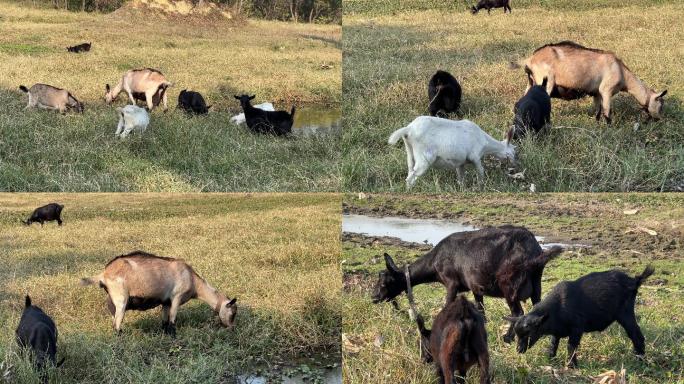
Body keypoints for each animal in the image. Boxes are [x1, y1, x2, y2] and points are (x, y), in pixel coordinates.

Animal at [80, 249, 238, 336]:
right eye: (232, 313)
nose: (232, 329)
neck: (193, 280)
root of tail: (104, 274)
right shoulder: (176, 297)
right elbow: (173, 320)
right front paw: (174, 336)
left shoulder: (166, 302)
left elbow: (164, 321)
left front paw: (164, 333)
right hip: (121, 300)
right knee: (117, 325)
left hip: (113, 302)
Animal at [374, 225, 560, 342]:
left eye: (385, 282)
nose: (373, 298)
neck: (435, 261)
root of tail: (534, 250)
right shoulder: (476, 286)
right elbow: (480, 309)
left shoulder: (451, 282)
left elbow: (447, 304)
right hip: (536, 282)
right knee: (538, 306)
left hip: (510, 284)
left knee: (518, 312)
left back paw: (507, 338)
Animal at [388, 118, 516, 188]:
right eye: (515, 150)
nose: (514, 166)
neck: (485, 143)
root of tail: (408, 129)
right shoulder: (475, 157)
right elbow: (481, 172)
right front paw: (480, 187)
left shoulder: (461, 162)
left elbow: (461, 179)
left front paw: (463, 189)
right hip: (425, 157)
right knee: (411, 178)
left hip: (410, 152)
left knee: (409, 171)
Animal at [504, 266, 656, 368]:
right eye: (517, 335)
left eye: (528, 334)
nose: (518, 350)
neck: (556, 310)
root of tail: (634, 281)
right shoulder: (557, 331)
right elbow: (553, 343)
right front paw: (550, 359)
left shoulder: (577, 328)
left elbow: (571, 346)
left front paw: (571, 365)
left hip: (625, 314)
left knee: (636, 335)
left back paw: (640, 358)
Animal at [524, 41, 668, 123]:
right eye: (660, 105)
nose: (658, 120)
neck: (622, 72)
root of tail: (531, 60)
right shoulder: (606, 90)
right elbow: (607, 112)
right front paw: (609, 127)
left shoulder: (597, 93)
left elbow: (598, 111)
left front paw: (597, 124)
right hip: (545, 82)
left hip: (531, 82)